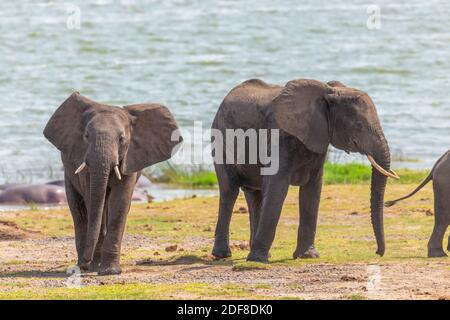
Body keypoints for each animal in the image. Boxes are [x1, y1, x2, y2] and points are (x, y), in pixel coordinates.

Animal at [43, 92, 181, 276]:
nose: (86, 262)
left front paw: (110, 271)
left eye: (121, 139)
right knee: (79, 209)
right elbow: (94, 202)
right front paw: (95, 267)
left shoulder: (131, 158)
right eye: (86, 136)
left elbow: (120, 201)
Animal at [210, 78, 398, 262]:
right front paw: (258, 260)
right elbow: (277, 189)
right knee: (229, 191)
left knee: (254, 194)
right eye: (358, 125)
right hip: (220, 142)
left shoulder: (319, 138)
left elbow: (312, 190)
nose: (378, 253)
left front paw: (307, 255)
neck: (328, 91)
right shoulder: (279, 137)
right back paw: (223, 255)